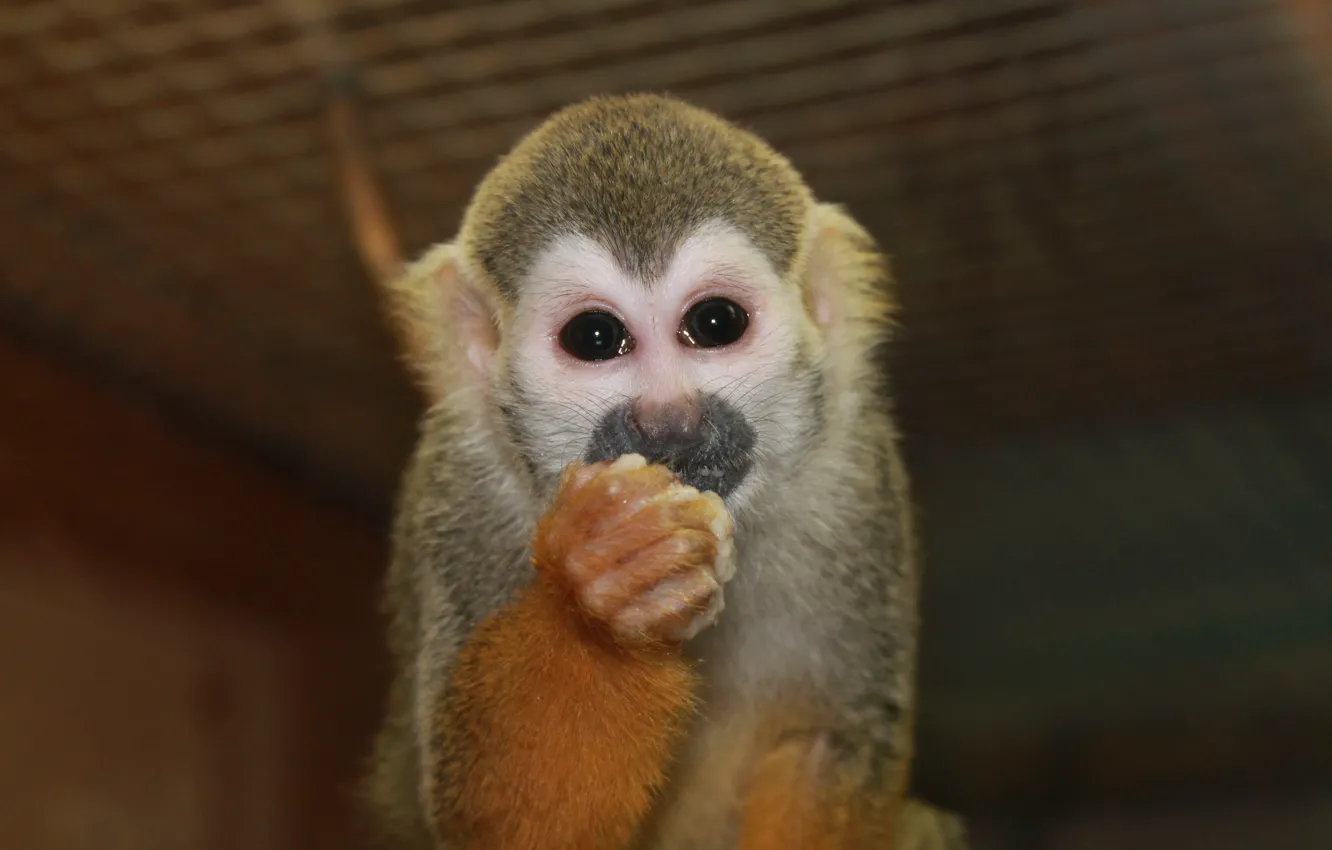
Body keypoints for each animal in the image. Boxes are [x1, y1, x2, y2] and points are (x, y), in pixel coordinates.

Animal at [360, 92, 968, 850]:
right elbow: (491, 823)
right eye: (595, 337)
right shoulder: (461, 492)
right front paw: (606, 594)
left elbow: (832, 744)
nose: (670, 421)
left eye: (714, 322)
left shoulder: (855, 476)